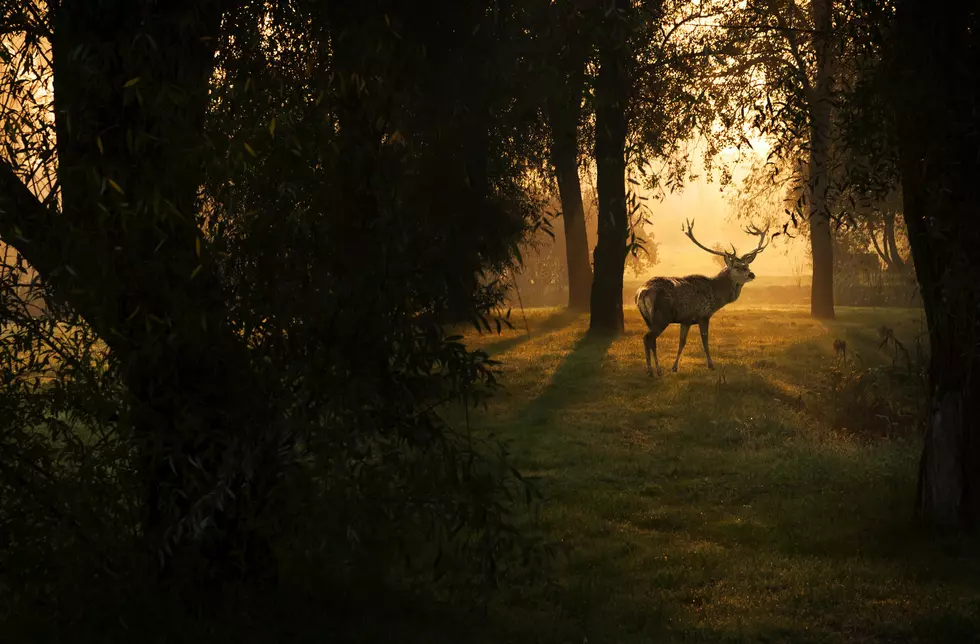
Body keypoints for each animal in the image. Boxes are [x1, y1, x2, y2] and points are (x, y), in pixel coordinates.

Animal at [636, 219, 772, 374]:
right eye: (737, 267)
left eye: (747, 266)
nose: (751, 274)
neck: (715, 295)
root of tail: (642, 292)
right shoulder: (703, 315)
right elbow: (705, 342)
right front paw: (711, 365)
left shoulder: (686, 320)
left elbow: (682, 342)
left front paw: (674, 367)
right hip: (661, 316)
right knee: (648, 338)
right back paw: (655, 370)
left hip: (648, 318)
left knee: (649, 340)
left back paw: (652, 370)